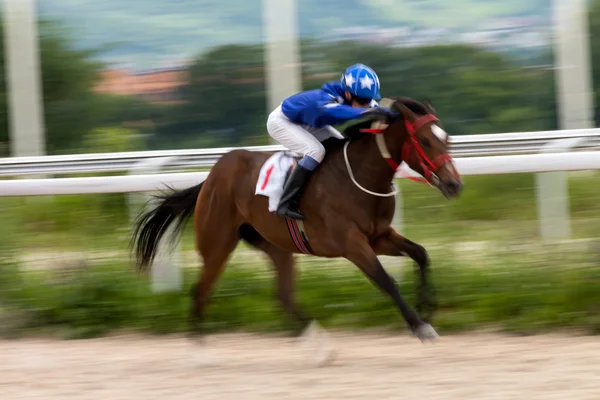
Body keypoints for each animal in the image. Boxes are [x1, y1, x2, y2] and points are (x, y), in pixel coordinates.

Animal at [132, 96, 464, 362]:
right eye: (425, 141)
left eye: (446, 138)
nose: (454, 184)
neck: (361, 175)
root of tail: (211, 177)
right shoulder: (352, 244)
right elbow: (387, 282)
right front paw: (421, 326)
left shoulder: (379, 237)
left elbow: (421, 254)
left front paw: (427, 308)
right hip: (217, 244)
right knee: (200, 290)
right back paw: (197, 352)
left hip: (275, 244)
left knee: (284, 296)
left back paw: (320, 347)